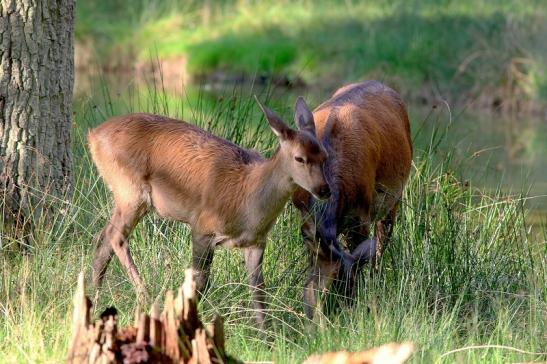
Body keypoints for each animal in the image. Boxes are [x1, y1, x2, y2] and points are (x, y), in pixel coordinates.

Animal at [88, 96, 332, 328]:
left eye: (325, 156)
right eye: (299, 158)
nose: (324, 190)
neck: (247, 199)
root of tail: (93, 136)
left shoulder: (256, 242)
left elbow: (259, 291)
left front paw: (267, 334)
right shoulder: (202, 226)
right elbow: (200, 281)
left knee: (102, 238)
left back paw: (96, 299)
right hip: (130, 191)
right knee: (116, 237)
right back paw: (144, 298)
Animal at [294, 80, 414, 318]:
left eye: (340, 283)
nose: (313, 316)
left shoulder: (361, 214)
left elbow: (360, 257)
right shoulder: (307, 222)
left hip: (394, 199)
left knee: (381, 245)